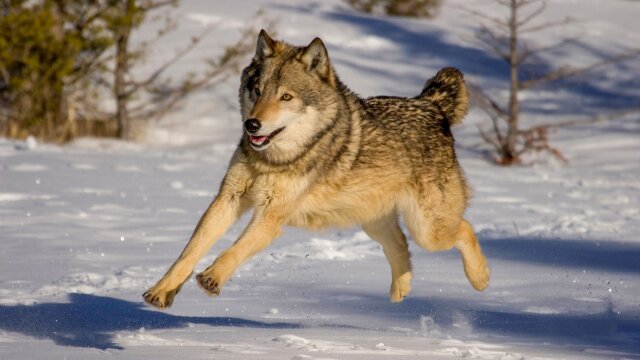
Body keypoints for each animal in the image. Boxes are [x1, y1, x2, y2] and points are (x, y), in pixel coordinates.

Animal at [144, 29, 490, 308]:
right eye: (257, 90)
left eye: (286, 97)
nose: (251, 124)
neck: (275, 159)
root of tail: (429, 103)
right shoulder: (228, 198)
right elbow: (188, 252)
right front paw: (161, 290)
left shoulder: (271, 215)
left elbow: (233, 250)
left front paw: (212, 278)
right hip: (375, 223)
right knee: (402, 246)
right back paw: (399, 294)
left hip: (428, 229)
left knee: (464, 229)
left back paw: (481, 278)